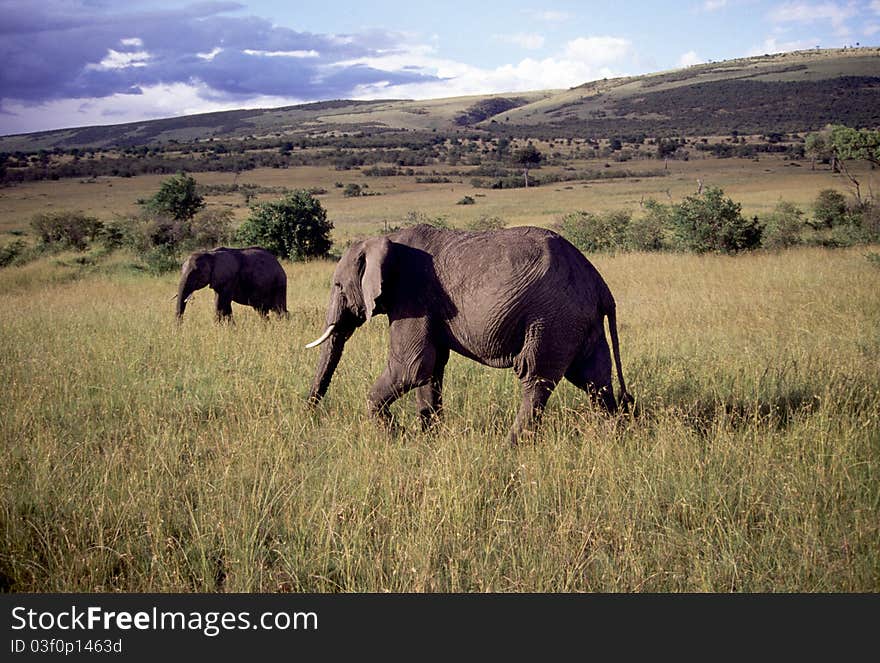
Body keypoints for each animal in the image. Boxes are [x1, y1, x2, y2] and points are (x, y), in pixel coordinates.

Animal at [304, 224, 632, 446]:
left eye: (338, 286)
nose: (309, 417)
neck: (387, 240)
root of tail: (601, 285)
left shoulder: (412, 297)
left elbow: (410, 368)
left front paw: (398, 437)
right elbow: (430, 370)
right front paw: (428, 439)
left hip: (552, 318)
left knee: (535, 377)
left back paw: (509, 447)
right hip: (580, 321)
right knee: (595, 379)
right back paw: (614, 437)